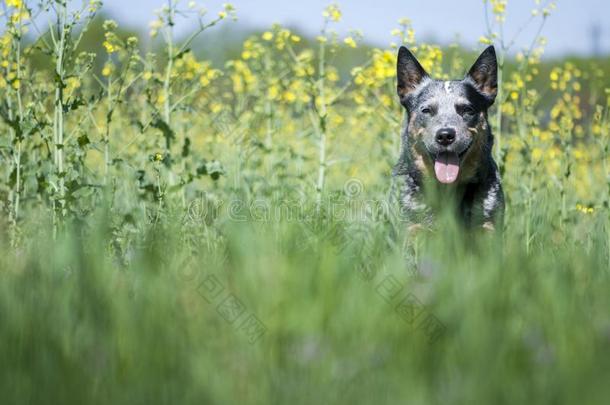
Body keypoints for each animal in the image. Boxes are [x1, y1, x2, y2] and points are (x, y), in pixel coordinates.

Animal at [390, 45, 504, 230]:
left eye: (467, 110)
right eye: (427, 110)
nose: (445, 136)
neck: (447, 191)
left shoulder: (489, 224)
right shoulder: (411, 225)